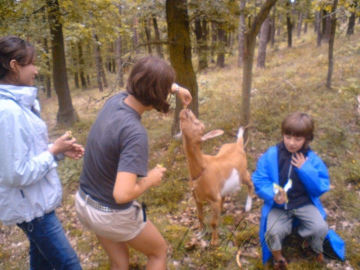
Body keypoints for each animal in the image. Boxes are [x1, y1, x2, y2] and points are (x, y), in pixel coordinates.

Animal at [179, 108, 253, 246]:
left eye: (199, 125)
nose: (186, 110)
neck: (201, 169)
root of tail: (238, 144)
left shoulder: (213, 199)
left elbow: (213, 223)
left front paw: (214, 241)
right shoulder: (196, 198)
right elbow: (200, 216)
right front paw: (200, 233)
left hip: (243, 173)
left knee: (251, 183)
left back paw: (248, 206)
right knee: (223, 197)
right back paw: (222, 209)